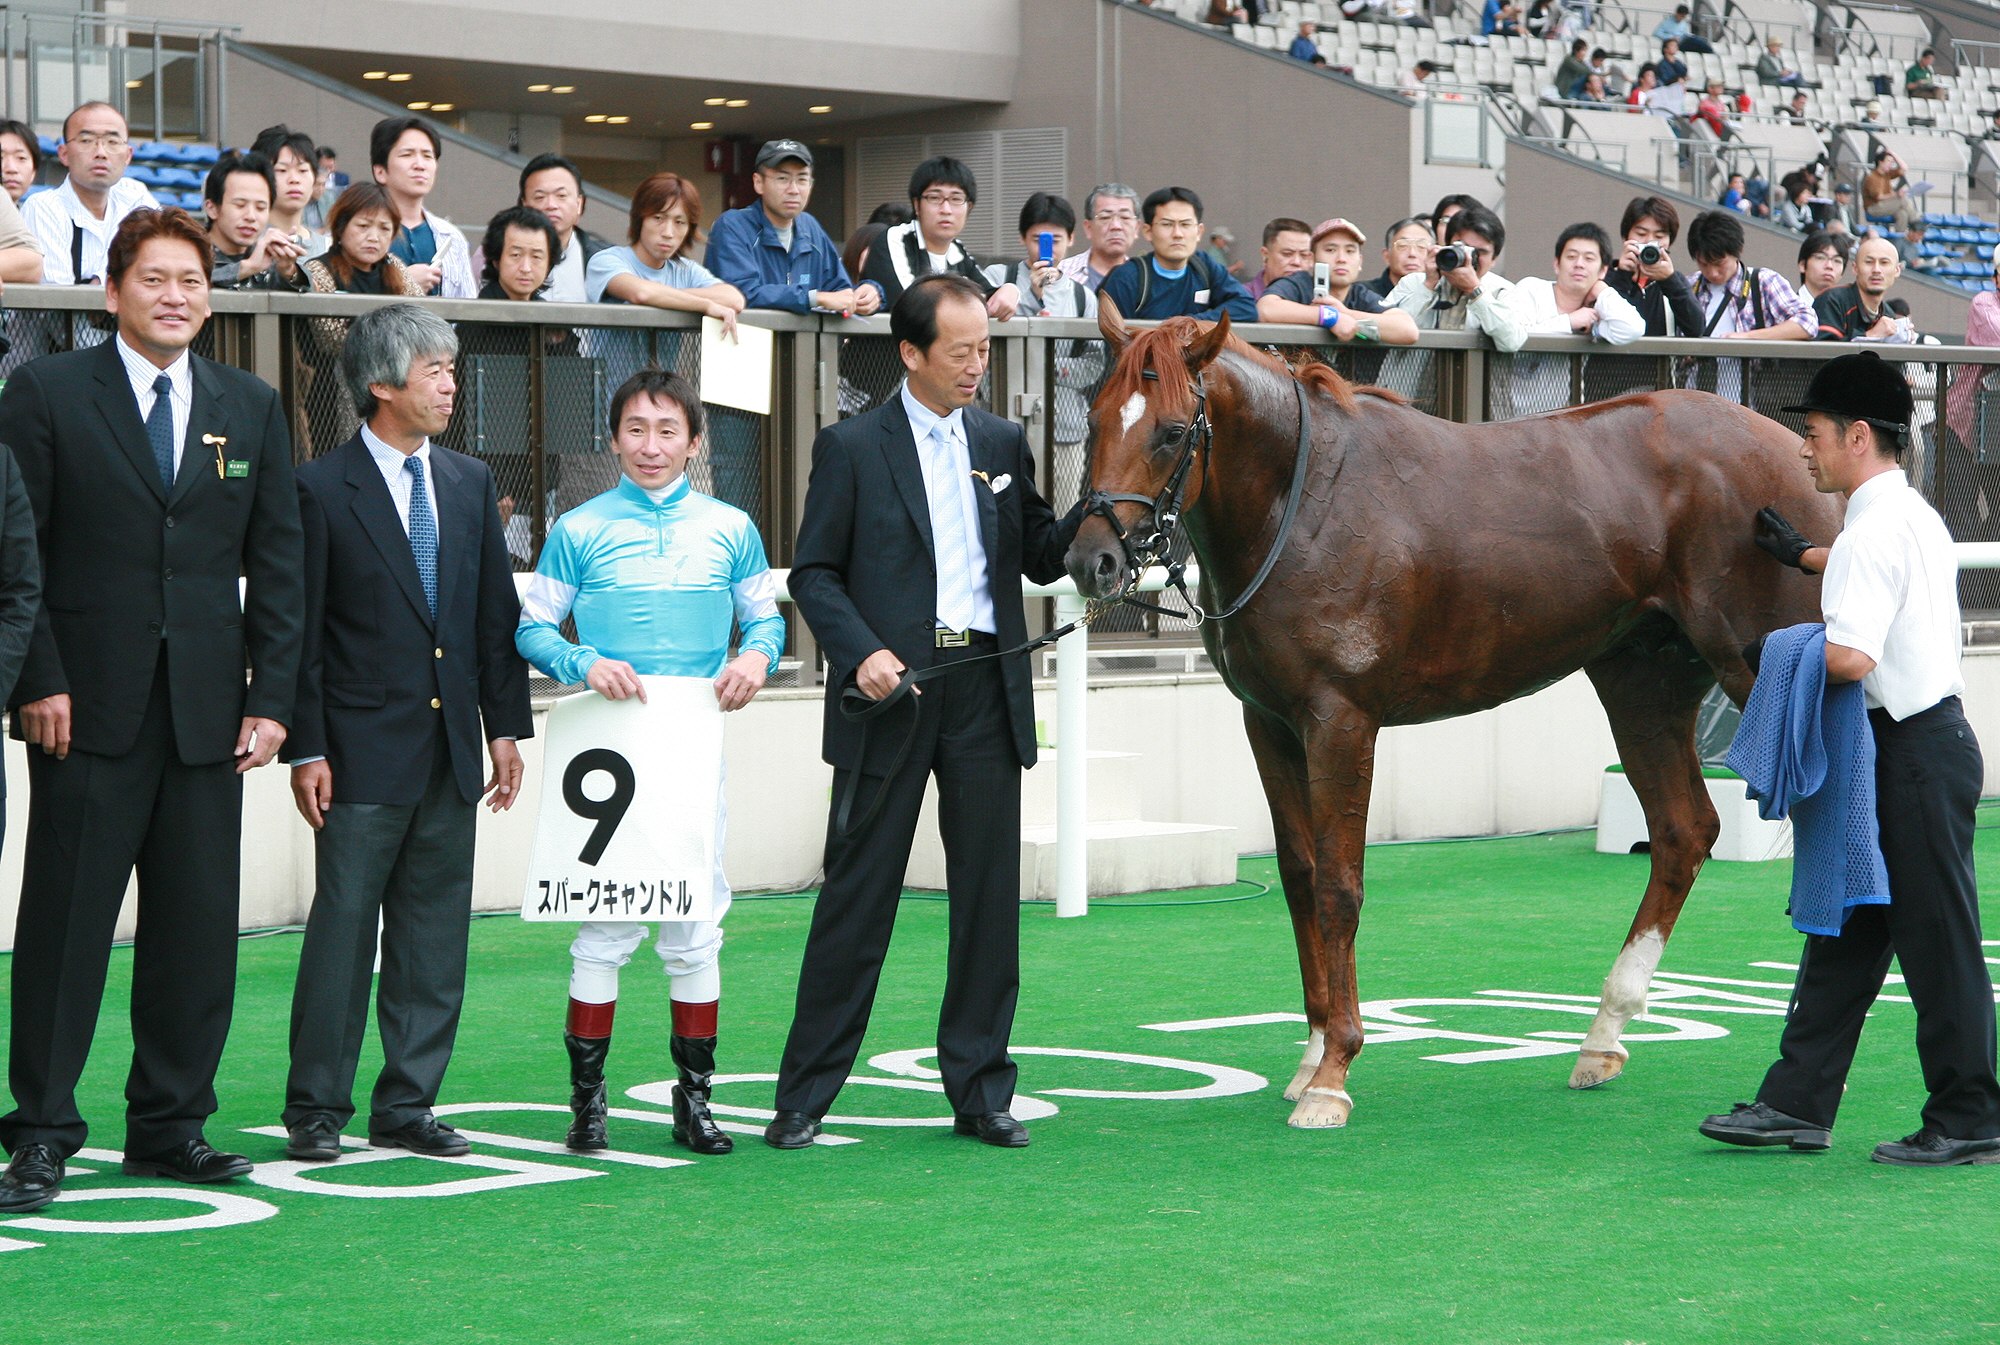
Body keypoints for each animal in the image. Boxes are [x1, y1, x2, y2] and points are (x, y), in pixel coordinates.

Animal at [1065, 306, 1842, 1130]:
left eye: (1171, 432)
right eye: (1096, 418)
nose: (1093, 561)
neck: (1304, 505)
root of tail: (1798, 455)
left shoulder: (1341, 720)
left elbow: (1341, 886)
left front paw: (1335, 1072)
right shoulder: (1268, 722)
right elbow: (1302, 877)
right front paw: (1310, 1057)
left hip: (1765, 667)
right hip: (1644, 684)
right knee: (1683, 830)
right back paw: (1603, 1036)